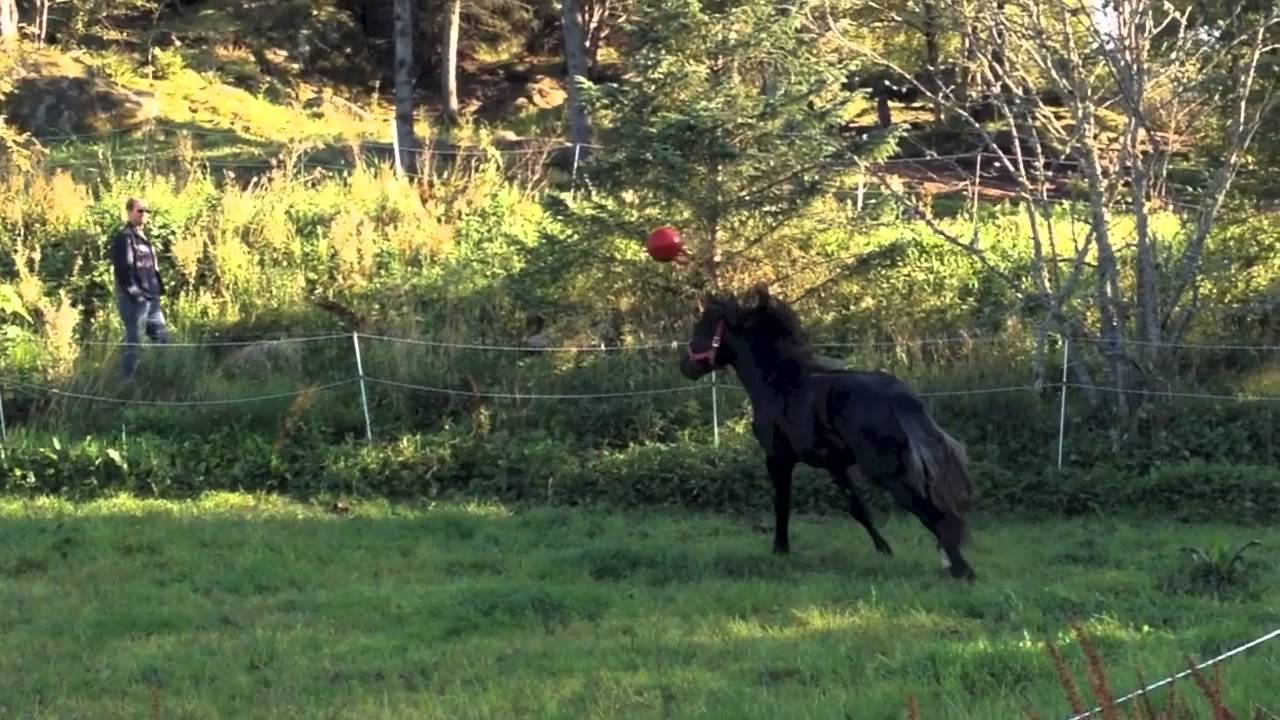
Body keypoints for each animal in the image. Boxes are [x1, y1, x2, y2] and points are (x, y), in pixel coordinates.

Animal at [678, 285, 979, 581]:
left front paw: (780, 550)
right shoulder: (834, 464)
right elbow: (857, 508)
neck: (779, 385)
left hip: (887, 470)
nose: (685, 366)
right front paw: (884, 550)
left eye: (704, 325)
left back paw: (961, 570)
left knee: (932, 512)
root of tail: (899, 397)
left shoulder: (778, 457)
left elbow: (782, 502)